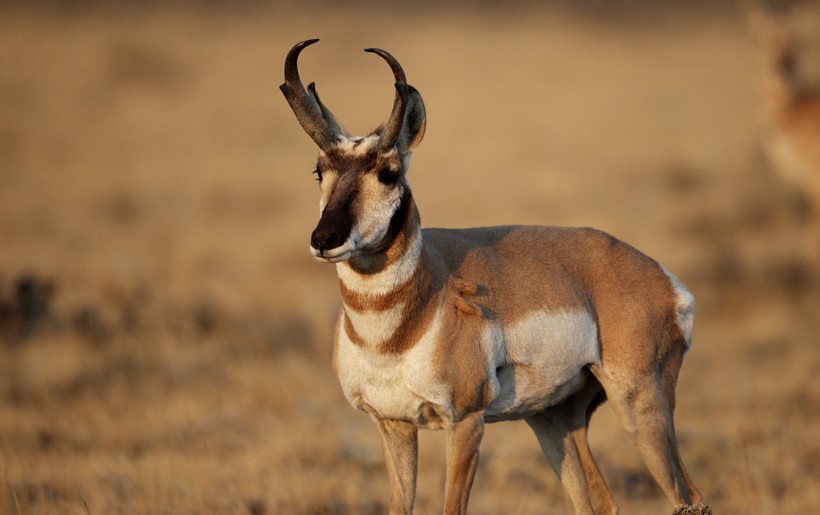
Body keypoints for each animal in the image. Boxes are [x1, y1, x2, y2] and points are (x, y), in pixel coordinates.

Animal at [280, 38, 704, 512]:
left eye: (388, 173)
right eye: (319, 170)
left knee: (688, 494)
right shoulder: (393, 424)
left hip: (639, 406)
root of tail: (662, 277)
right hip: (554, 420)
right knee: (599, 500)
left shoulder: (465, 422)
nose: (324, 239)